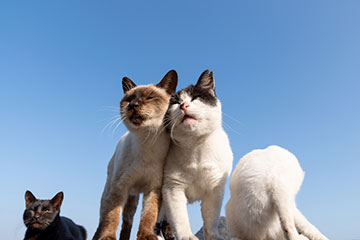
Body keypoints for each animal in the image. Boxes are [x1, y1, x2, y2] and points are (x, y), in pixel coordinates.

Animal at [92, 70, 178, 240]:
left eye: (150, 97)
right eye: (129, 99)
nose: (133, 105)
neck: (147, 144)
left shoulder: (153, 188)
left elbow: (148, 216)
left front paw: (146, 235)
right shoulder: (120, 186)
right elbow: (112, 217)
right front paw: (108, 237)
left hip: (133, 199)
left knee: (128, 222)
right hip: (111, 193)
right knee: (104, 220)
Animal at [161, 70, 233, 240]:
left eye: (195, 98)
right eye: (174, 102)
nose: (183, 105)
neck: (196, 148)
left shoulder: (215, 189)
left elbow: (211, 218)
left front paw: (214, 236)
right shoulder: (172, 188)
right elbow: (179, 217)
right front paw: (186, 236)